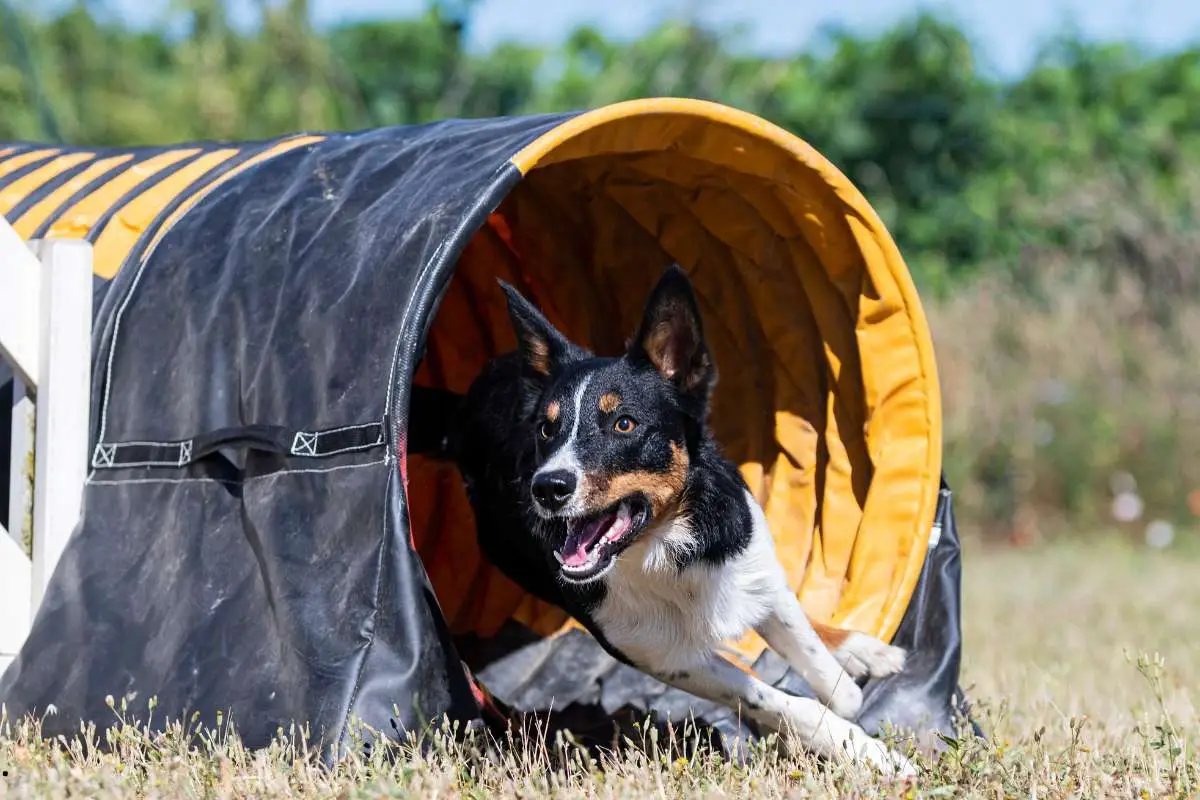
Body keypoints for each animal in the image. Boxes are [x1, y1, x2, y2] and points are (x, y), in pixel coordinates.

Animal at [417, 263, 912, 777]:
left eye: (624, 424)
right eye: (547, 429)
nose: (547, 488)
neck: (666, 543)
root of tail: (466, 409)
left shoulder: (748, 556)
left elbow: (825, 669)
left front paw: (853, 701)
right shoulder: (662, 655)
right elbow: (778, 697)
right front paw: (864, 750)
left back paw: (866, 648)